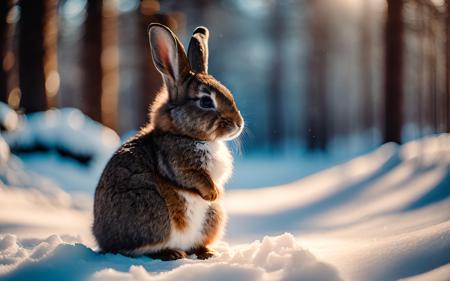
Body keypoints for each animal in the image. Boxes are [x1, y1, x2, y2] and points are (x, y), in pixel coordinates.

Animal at [92, 24, 244, 260]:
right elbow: (196, 178)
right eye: (206, 101)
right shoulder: (180, 165)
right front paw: (212, 193)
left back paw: (205, 252)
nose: (238, 124)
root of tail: (103, 240)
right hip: (153, 210)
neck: (185, 134)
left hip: (213, 216)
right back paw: (171, 253)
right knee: (138, 249)